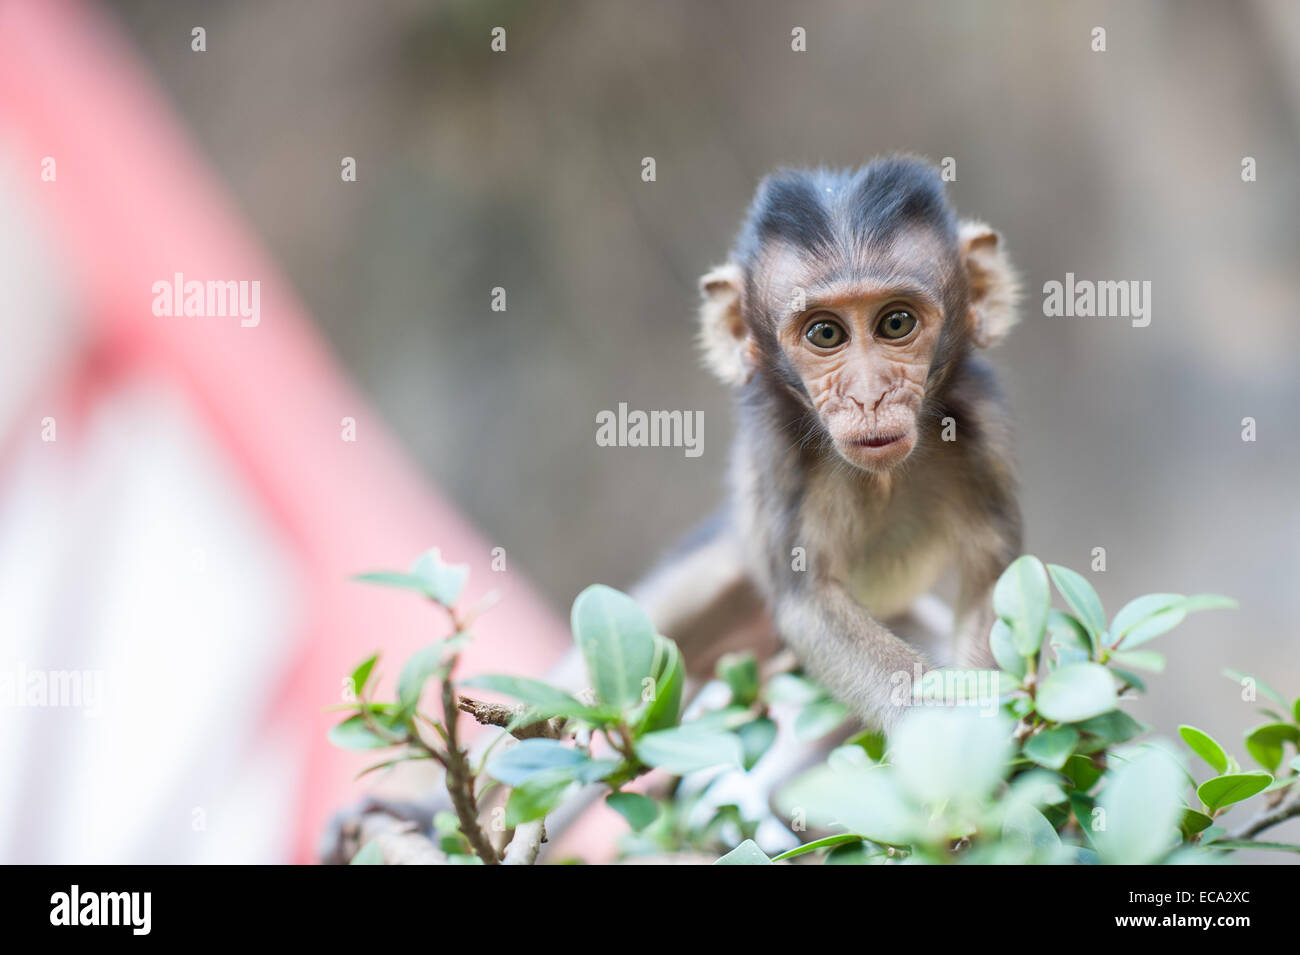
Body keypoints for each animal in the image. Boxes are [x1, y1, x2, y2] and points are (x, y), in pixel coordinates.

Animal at [634, 157, 1019, 727]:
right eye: (826, 334)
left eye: (896, 323)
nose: (869, 396)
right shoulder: (776, 455)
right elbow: (808, 603)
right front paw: (941, 731)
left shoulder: (986, 423)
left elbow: (992, 577)